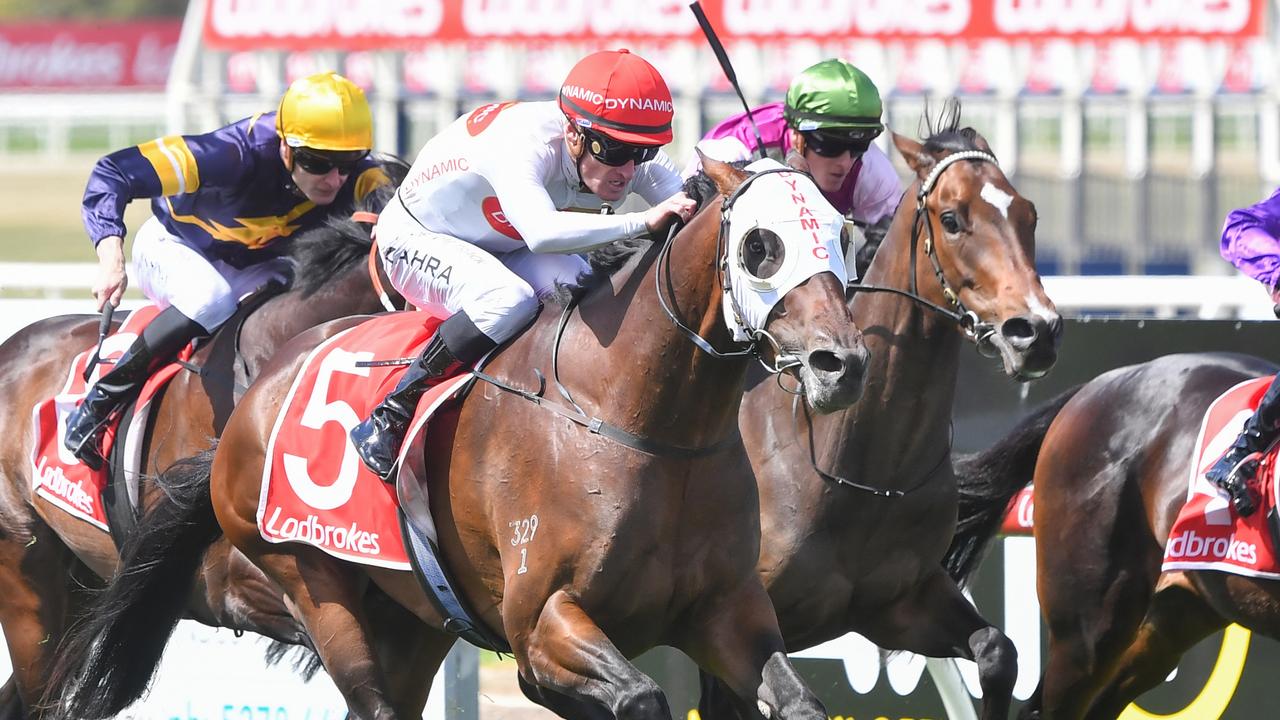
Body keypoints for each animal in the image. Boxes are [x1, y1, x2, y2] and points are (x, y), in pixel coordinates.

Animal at [49, 158, 870, 717]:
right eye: (761, 246)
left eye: (842, 235)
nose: (841, 363)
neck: (640, 420)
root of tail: (251, 403)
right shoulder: (541, 626)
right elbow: (638, 697)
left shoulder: (726, 609)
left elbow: (798, 700)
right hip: (309, 583)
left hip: (409, 616)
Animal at [696, 116, 1064, 717]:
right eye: (952, 219)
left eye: (1029, 214)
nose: (1035, 332)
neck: (863, 469)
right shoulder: (730, 625)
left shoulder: (899, 603)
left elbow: (997, 650)